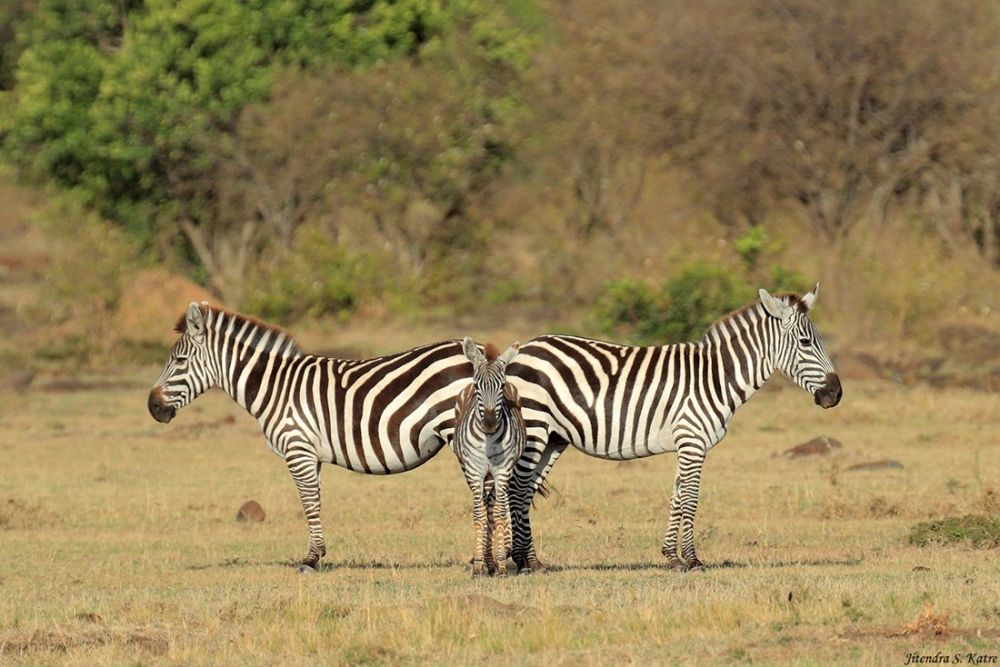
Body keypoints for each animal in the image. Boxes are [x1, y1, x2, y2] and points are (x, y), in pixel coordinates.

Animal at [148, 302, 476, 568]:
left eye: (179, 361)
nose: (153, 407)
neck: (275, 386)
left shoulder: (298, 448)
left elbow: (308, 502)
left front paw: (311, 558)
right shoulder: (310, 454)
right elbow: (315, 500)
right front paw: (318, 554)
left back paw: (479, 561)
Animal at [456, 336, 532, 576]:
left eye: (501, 386)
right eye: (477, 386)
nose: (489, 424)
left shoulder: (502, 471)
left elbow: (498, 514)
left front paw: (499, 565)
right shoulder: (475, 472)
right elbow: (479, 515)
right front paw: (478, 566)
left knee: (491, 505)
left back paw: (492, 563)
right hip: (471, 471)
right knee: (484, 505)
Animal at [508, 284, 844, 572]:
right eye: (805, 343)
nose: (836, 394)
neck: (716, 378)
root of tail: (522, 349)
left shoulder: (687, 443)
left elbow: (677, 497)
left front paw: (672, 556)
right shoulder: (693, 441)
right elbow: (691, 500)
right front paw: (693, 560)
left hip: (553, 438)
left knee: (527, 488)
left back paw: (531, 560)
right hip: (535, 428)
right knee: (517, 486)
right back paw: (519, 561)